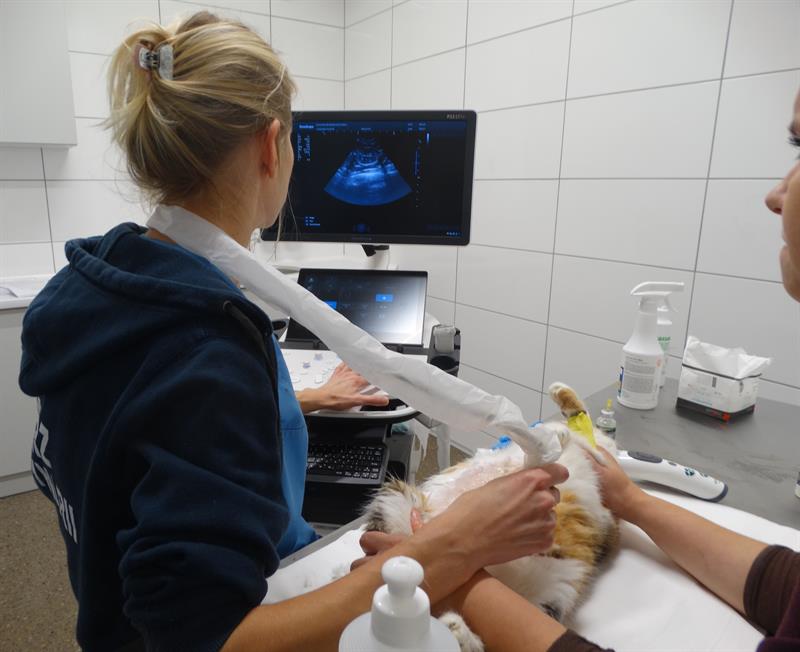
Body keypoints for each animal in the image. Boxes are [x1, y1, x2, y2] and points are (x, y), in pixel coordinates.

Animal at [361, 382, 619, 652]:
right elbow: (574, 422)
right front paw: (558, 415)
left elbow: (579, 425)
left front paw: (559, 423)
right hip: (398, 503)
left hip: (550, 597)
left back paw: (454, 628)